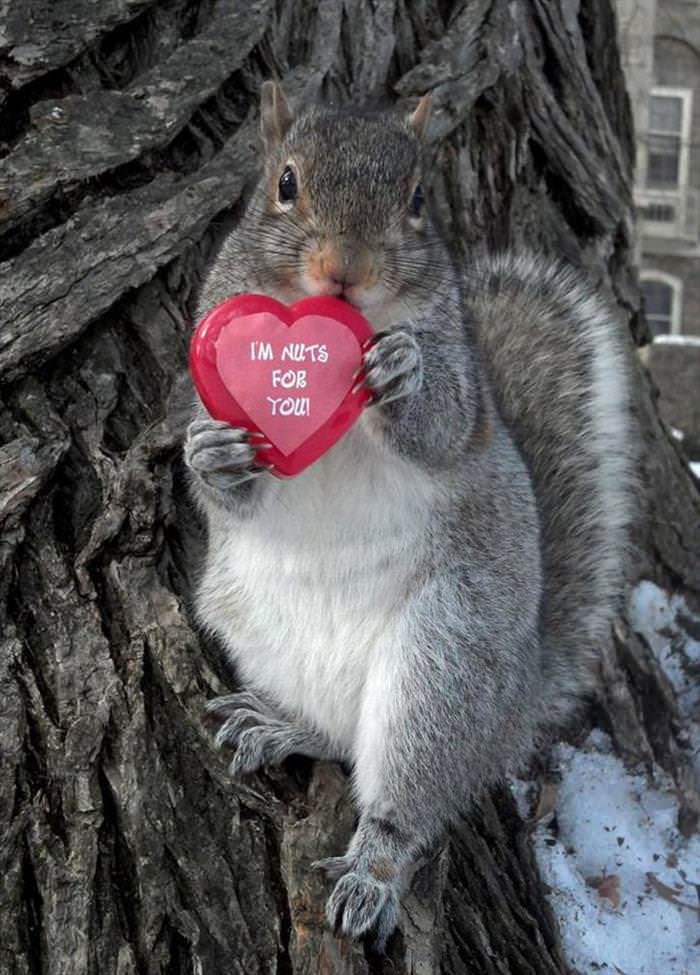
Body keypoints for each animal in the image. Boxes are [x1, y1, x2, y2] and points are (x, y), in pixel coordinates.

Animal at [183, 80, 636, 948]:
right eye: (285, 183)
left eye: (420, 198)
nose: (345, 271)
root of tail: (512, 708)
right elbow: (226, 488)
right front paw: (212, 454)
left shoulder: (461, 391)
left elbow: (444, 422)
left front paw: (400, 370)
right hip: (251, 627)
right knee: (332, 734)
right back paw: (280, 725)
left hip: (443, 665)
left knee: (402, 802)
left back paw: (372, 875)